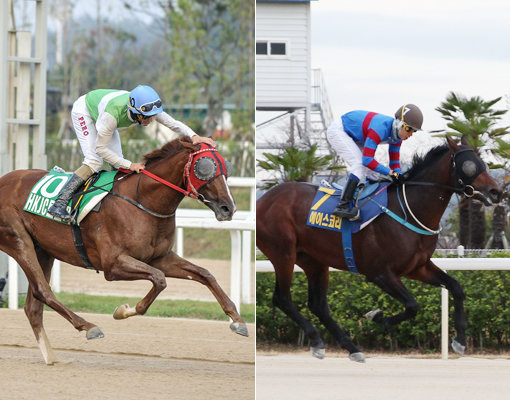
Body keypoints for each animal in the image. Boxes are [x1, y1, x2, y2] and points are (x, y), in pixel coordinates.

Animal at [0, 138, 247, 366]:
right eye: (204, 167)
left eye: (226, 167)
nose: (229, 208)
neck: (142, 200)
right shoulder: (113, 265)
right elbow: (159, 280)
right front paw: (124, 310)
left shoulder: (160, 257)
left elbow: (204, 274)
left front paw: (238, 321)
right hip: (19, 240)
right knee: (43, 290)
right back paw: (89, 327)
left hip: (43, 249)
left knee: (33, 306)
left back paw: (51, 357)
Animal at [256, 135, 504, 362]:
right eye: (469, 165)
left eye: (483, 163)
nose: (496, 192)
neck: (408, 209)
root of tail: (262, 201)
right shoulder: (379, 273)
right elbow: (413, 305)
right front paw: (376, 316)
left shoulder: (418, 267)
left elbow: (456, 287)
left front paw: (460, 341)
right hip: (283, 254)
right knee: (282, 298)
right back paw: (317, 339)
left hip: (314, 261)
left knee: (318, 305)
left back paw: (350, 347)